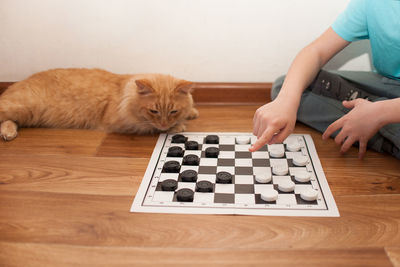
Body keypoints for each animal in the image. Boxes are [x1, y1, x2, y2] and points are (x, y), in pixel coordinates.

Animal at [0, 68, 199, 141]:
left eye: (173, 111)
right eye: (154, 111)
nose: (164, 123)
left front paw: (191, 113)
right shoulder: (123, 122)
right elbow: (149, 126)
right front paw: (177, 127)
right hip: (25, 107)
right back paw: (8, 133)